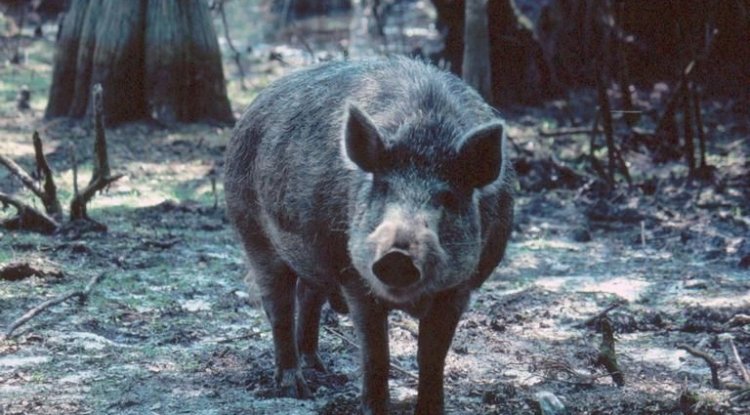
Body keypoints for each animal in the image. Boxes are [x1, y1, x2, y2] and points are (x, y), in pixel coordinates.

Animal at [224, 57, 514, 415]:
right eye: (383, 188)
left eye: (446, 198)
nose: (397, 256)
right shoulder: (354, 277)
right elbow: (377, 355)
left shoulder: (461, 288)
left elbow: (431, 358)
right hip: (252, 231)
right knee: (278, 307)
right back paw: (297, 389)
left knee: (309, 295)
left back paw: (318, 368)